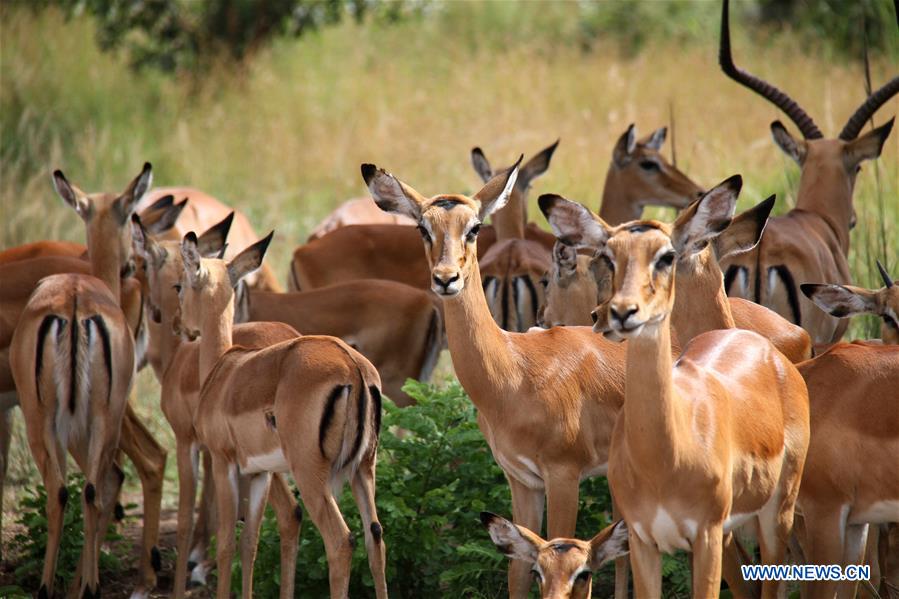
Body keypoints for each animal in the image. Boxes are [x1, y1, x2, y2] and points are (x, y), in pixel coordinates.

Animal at [176, 233, 386, 599]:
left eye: (182, 285)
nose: (179, 325)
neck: (223, 369)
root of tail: (354, 368)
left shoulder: (223, 462)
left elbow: (226, 543)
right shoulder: (260, 473)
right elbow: (250, 542)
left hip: (311, 475)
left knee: (340, 541)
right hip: (363, 470)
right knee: (375, 537)